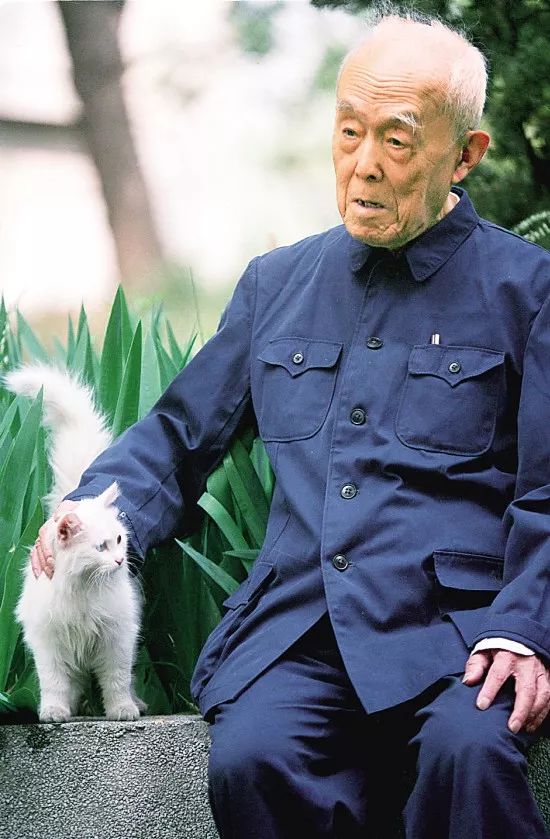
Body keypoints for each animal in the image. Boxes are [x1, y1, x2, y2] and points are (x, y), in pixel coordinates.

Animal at [4, 364, 143, 722]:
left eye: (119, 539)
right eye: (100, 547)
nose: (120, 561)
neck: (82, 590)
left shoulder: (117, 639)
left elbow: (116, 681)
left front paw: (123, 710)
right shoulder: (49, 644)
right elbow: (53, 684)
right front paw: (54, 712)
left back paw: (136, 703)